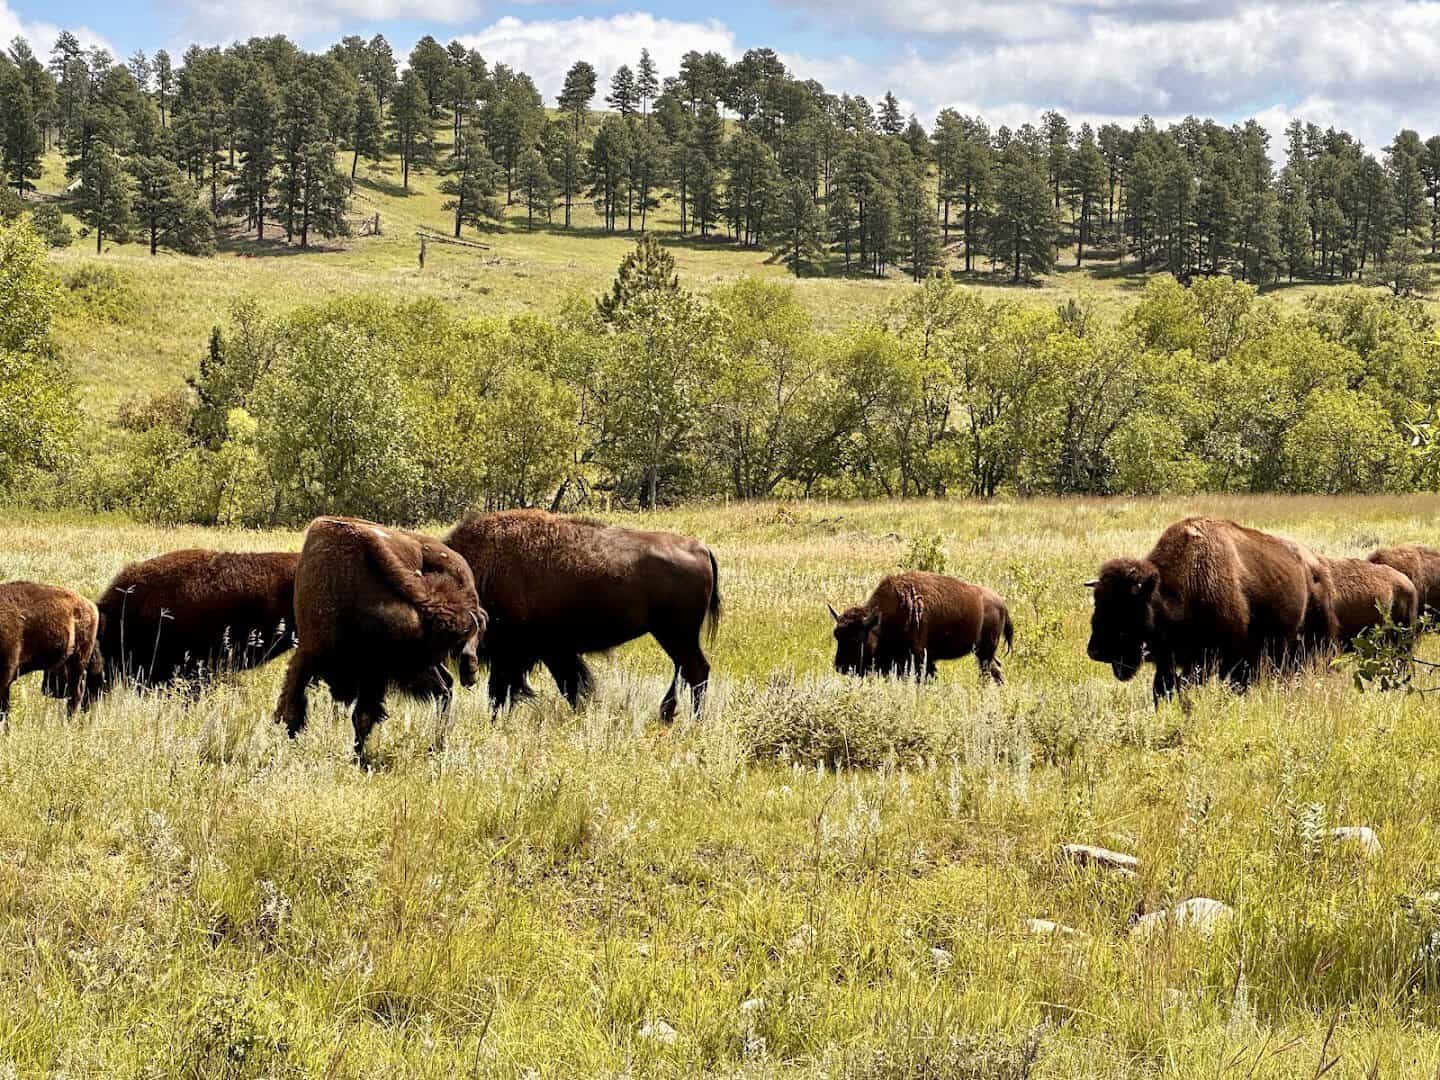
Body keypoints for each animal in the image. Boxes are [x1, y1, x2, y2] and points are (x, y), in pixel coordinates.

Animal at [274, 517, 485, 758]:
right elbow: (292, 707)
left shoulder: (374, 672)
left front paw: (358, 757)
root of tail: (461, 562)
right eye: (416, 646)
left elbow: (362, 716)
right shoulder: (309, 654)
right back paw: (438, 740)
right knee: (448, 688)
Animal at [443, 510, 720, 721]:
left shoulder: (520, 653)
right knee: (685, 670)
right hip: (673, 636)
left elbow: (505, 692)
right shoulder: (546, 653)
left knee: (696, 670)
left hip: (676, 634)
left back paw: (693, 721)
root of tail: (701, 548)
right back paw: (669, 714)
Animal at [829, 571, 1012, 683]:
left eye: (856, 638)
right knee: (996, 669)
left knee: (987, 672)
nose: (839, 667)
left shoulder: (918, 657)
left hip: (984, 651)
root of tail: (1001, 603)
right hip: (984, 652)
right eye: (837, 635)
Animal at [1086, 517, 1338, 700]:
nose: (1096, 651)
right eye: (1097, 601)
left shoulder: (1215, 658)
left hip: (1312, 642)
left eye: (1128, 605)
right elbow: (1163, 688)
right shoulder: (1171, 660)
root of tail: (1316, 565)